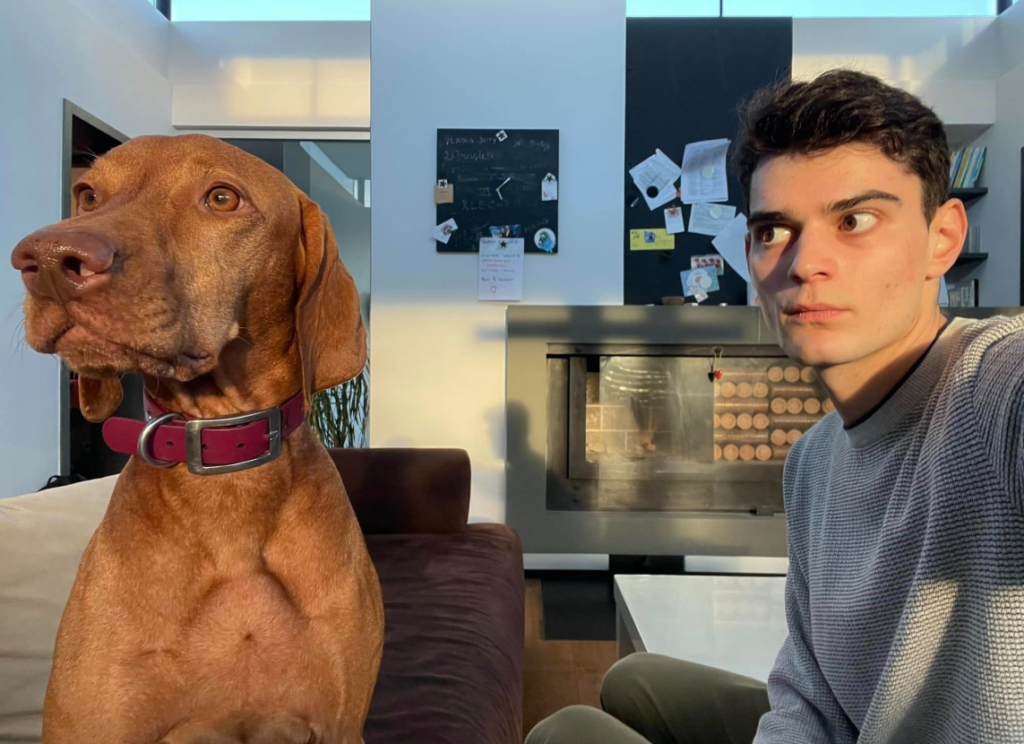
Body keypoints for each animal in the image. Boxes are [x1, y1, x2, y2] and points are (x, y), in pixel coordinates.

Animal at [11, 135, 384, 744]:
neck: (229, 472)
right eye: (88, 195)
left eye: (221, 198)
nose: (44, 259)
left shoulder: (339, 725)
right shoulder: (87, 724)